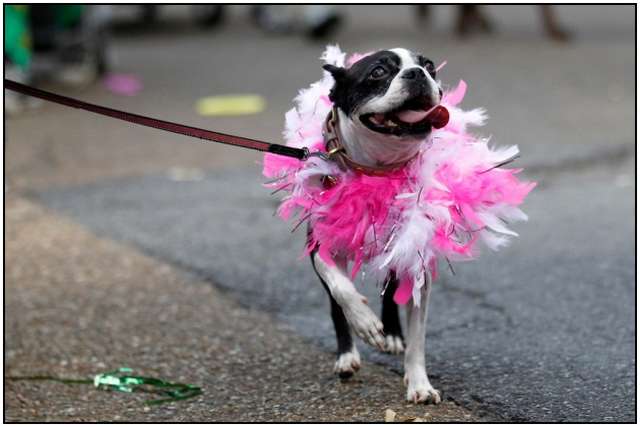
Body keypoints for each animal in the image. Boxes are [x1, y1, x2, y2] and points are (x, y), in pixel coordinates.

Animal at [312, 47, 444, 404]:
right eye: (378, 72)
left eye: (430, 67)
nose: (416, 73)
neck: (379, 168)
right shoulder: (319, 245)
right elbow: (341, 288)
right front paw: (365, 323)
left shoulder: (416, 258)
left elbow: (418, 336)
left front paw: (419, 384)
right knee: (335, 302)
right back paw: (347, 355)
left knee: (391, 285)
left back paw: (394, 335)